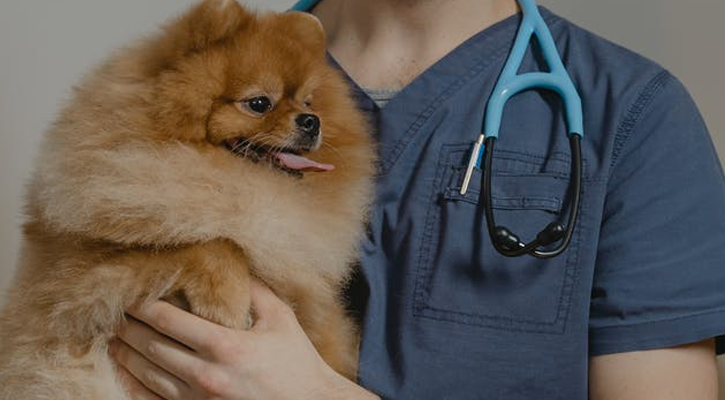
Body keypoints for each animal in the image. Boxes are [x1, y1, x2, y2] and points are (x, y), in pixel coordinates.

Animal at [0, 1, 376, 398]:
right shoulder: (80, 277)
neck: (238, 184)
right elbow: (207, 242)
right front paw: (227, 300)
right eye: (259, 103)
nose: (311, 120)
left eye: (307, 100)